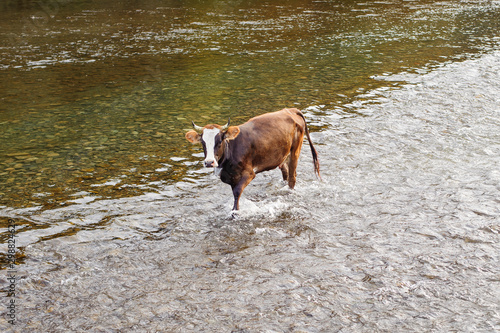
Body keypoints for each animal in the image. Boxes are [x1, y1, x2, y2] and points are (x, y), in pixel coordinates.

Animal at [184, 107, 320, 209]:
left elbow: (237, 192)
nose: (209, 162)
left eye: (219, 141)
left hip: (295, 151)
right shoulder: (232, 177)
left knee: (292, 177)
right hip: (283, 155)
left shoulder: (249, 173)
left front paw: (235, 212)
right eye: (203, 143)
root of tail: (290, 110)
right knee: (285, 172)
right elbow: (235, 193)